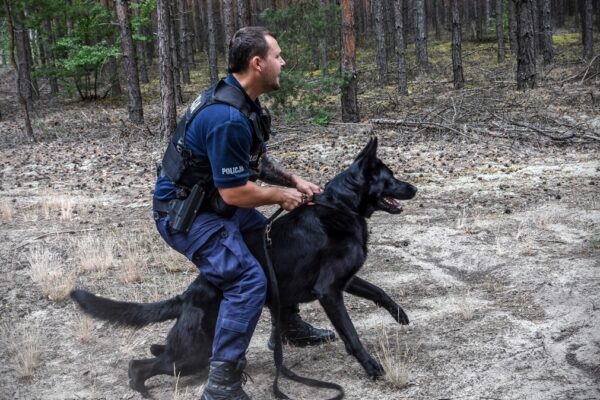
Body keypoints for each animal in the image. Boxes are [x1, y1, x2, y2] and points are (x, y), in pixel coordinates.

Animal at [71, 138, 418, 396]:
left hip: (198, 350)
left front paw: (399, 314)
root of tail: (187, 295)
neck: (341, 205)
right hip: (191, 352)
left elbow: (378, 290)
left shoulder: (345, 280)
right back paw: (144, 389)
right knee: (140, 366)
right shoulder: (330, 291)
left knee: (160, 356)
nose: (414, 188)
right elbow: (352, 334)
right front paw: (371, 366)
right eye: (391, 178)